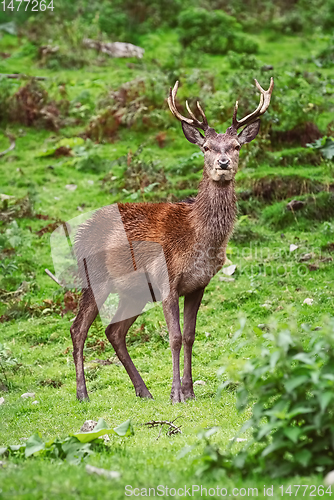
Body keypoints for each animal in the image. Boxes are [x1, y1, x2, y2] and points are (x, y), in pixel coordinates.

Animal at [70, 80, 274, 404]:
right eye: (206, 147)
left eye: (237, 146)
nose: (223, 163)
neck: (197, 239)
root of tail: (80, 233)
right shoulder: (167, 281)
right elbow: (175, 337)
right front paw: (176, 393)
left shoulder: (198, 285)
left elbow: (190, 336)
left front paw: (189, 391)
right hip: (95, 279)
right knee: (78, 329)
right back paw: (82, 394)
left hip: (134, 292)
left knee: (114, 331)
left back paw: (143, 391)